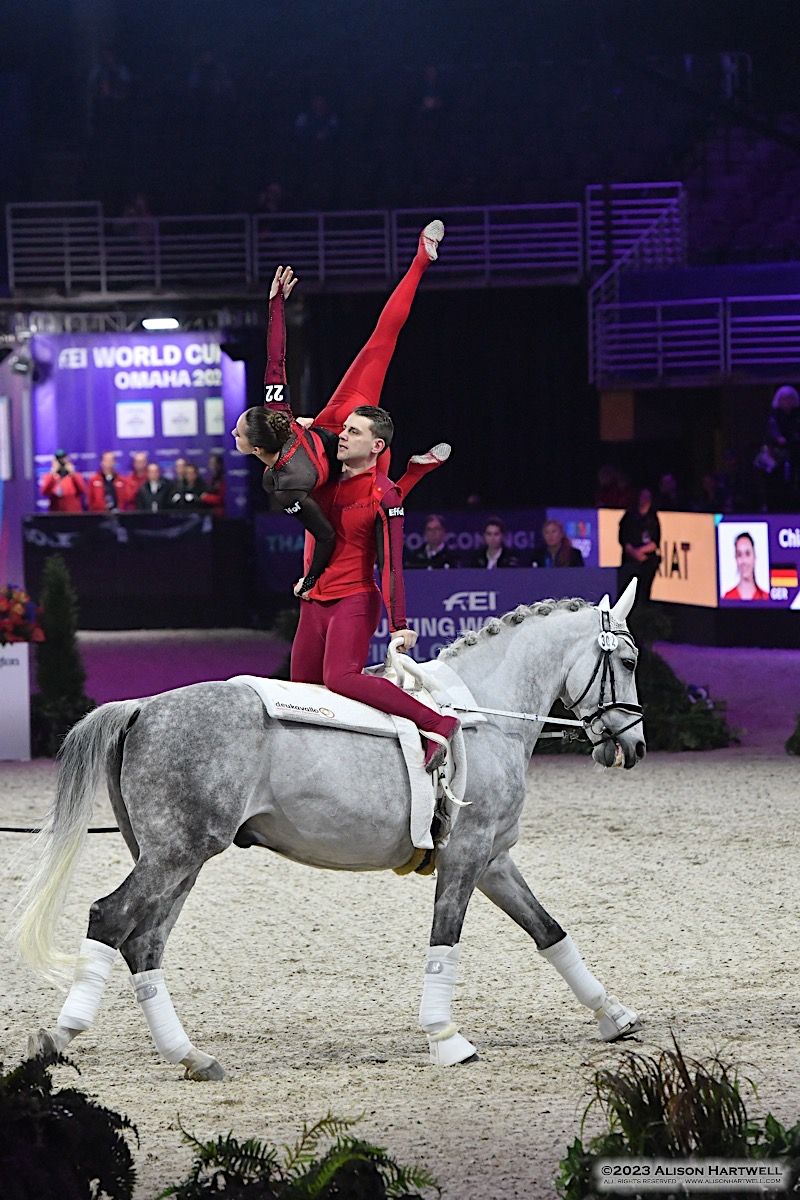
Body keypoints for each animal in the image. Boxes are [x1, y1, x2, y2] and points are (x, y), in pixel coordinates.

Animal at [17, 580, 642, 1080]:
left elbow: (550, 932)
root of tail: (143, 707)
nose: (632, 747)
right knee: (110, 918)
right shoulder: (466, 853)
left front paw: (613, 1015)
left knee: (144, 941)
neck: (481, 715)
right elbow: (445, 941)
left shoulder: (493, 860)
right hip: (175, 854)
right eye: (631, 662)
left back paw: (190, 1056)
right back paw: (60, 1035)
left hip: (179, 859)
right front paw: (445, 1038)